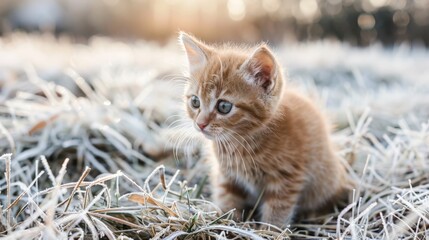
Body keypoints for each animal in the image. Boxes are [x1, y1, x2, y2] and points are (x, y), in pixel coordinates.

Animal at [177, 32, 348, 227]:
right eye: (195, 102)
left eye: (224, 107)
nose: (200, 124)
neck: (240, 143)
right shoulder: (226, 176)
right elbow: (227, 198)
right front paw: (226, 220)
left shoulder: (286, 179)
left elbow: (277, 211)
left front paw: (270, 229)